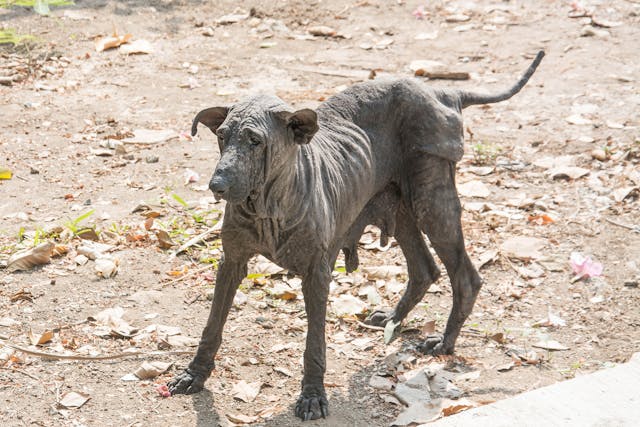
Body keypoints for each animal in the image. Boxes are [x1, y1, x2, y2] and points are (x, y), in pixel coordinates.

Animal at [168, 51, 544, 422]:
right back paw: (392, 319)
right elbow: (212, 325)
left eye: (255, 141)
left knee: (465, 276)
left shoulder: (316, 274)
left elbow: (314, 344)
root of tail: (442, 92)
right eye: (222, 136)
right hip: (401, 208)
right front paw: (194, 374)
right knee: (424, 269)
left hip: (431, 201)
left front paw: (313, 396)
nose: (217, 185)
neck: (268, 204)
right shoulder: (231, 262)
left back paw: (444, 342)